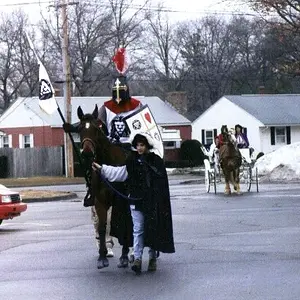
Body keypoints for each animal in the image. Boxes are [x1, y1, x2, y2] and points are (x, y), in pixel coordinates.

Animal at [76, 103, 132, 270]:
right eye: (80, 129)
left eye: (96, 128)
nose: (87, 153)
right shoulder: (100, 201)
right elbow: (101, 227)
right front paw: (102, 256)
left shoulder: (122, 201)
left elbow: (124, 225)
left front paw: (124, 256)